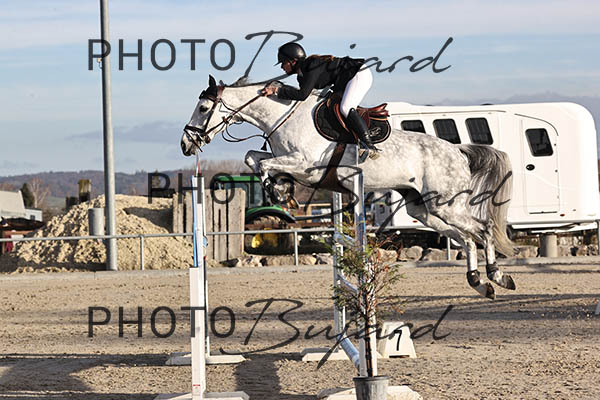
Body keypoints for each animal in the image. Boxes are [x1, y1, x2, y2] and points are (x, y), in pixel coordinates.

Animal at [181, 75, 516, 299]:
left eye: (203, 107)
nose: (186, 144)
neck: (284, 116)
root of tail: (458, 151)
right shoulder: (287, 160)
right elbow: (253, 157)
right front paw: (282, 188)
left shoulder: (306, 165)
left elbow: (262, 165)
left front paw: (279, 191)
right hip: (423, 209)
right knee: (467, 239)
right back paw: (480, 283)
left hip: (447, 205)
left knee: (483, 229)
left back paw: (498, 276)